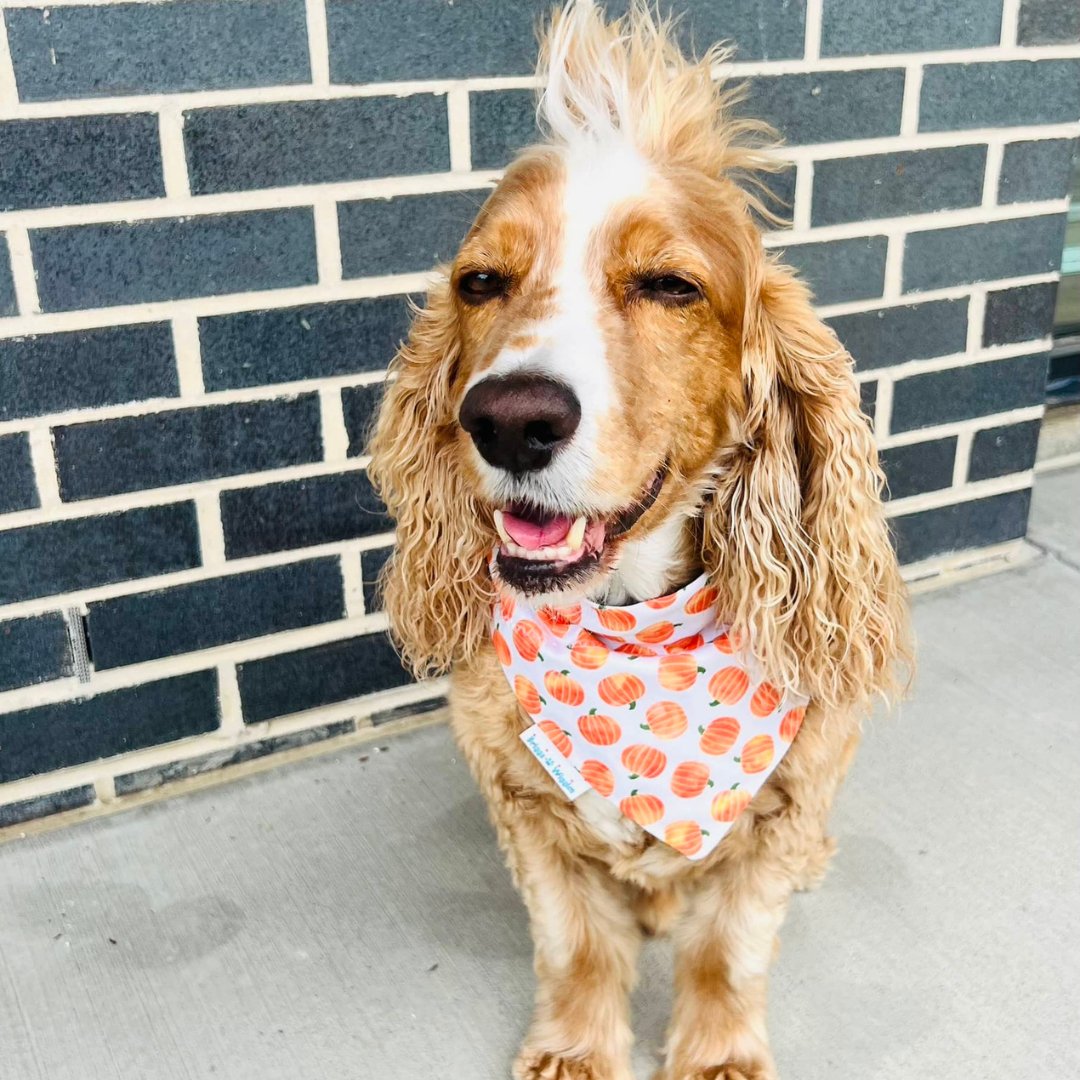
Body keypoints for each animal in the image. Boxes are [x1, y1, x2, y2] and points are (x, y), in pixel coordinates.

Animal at [371, 2, 911, 1080]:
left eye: (669, 285)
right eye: (480, 281)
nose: (510, 419)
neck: (628, 623)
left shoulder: (779, 811)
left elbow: (726, 950)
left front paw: (716, 1058)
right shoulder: (525, 808)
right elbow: (576, 942)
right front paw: (575, 1050)